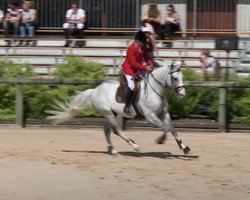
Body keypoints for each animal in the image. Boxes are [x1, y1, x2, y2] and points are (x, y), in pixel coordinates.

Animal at [46, 60, 190, 155]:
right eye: (175, 78)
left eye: (182, 77)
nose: (182, 94)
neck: (155, 91)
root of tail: (95, 91)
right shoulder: (151, 117)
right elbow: (165, 128)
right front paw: (160, 140)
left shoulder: (164, 114)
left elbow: (172, 128)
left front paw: (184, 148)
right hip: (108, 112)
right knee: (116, 130)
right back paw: (134, 145)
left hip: (112, 113)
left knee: (106, 130)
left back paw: (113, 149)